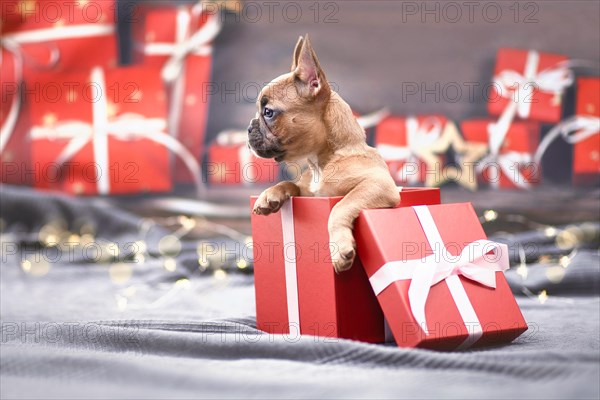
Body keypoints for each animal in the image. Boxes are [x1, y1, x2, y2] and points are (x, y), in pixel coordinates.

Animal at [246, 35, 400, 272]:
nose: (248, 128)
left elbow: (341, 206)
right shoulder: (309, 194)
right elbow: (290, 184)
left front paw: (339, 248)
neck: (322, 162)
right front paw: (269, 195)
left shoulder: (377, 185)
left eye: (268, 112)